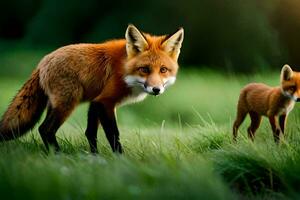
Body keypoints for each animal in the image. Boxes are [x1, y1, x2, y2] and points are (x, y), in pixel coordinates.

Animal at [0, 25, 184, 153]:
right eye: (144, 69)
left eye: (163, 70)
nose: (156, 89)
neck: (124, 69)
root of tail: (42, 61)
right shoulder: (105, 101)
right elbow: (113, 134)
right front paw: (121, 161)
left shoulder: (95, 102)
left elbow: (90, 133)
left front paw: (94, 158)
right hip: (67, 103)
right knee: (45, 129)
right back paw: (58, 155)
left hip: (57, 104)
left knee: (44, 128)